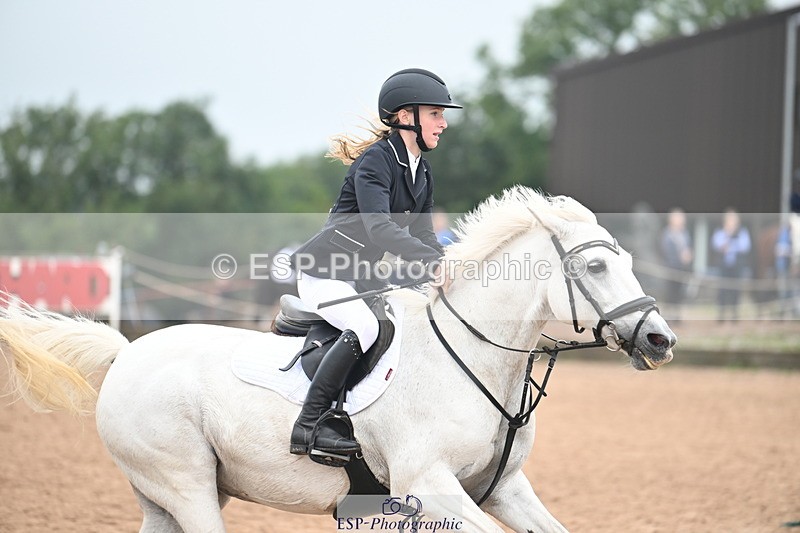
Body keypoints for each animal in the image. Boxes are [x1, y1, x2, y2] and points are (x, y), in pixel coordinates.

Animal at [0, 187, 676, 533]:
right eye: (596, 266)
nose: (659, 341)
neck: (479, 362)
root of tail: (127, 354)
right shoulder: (428, 486)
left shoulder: (503, 489)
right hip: (185, 485)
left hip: (171, 496)